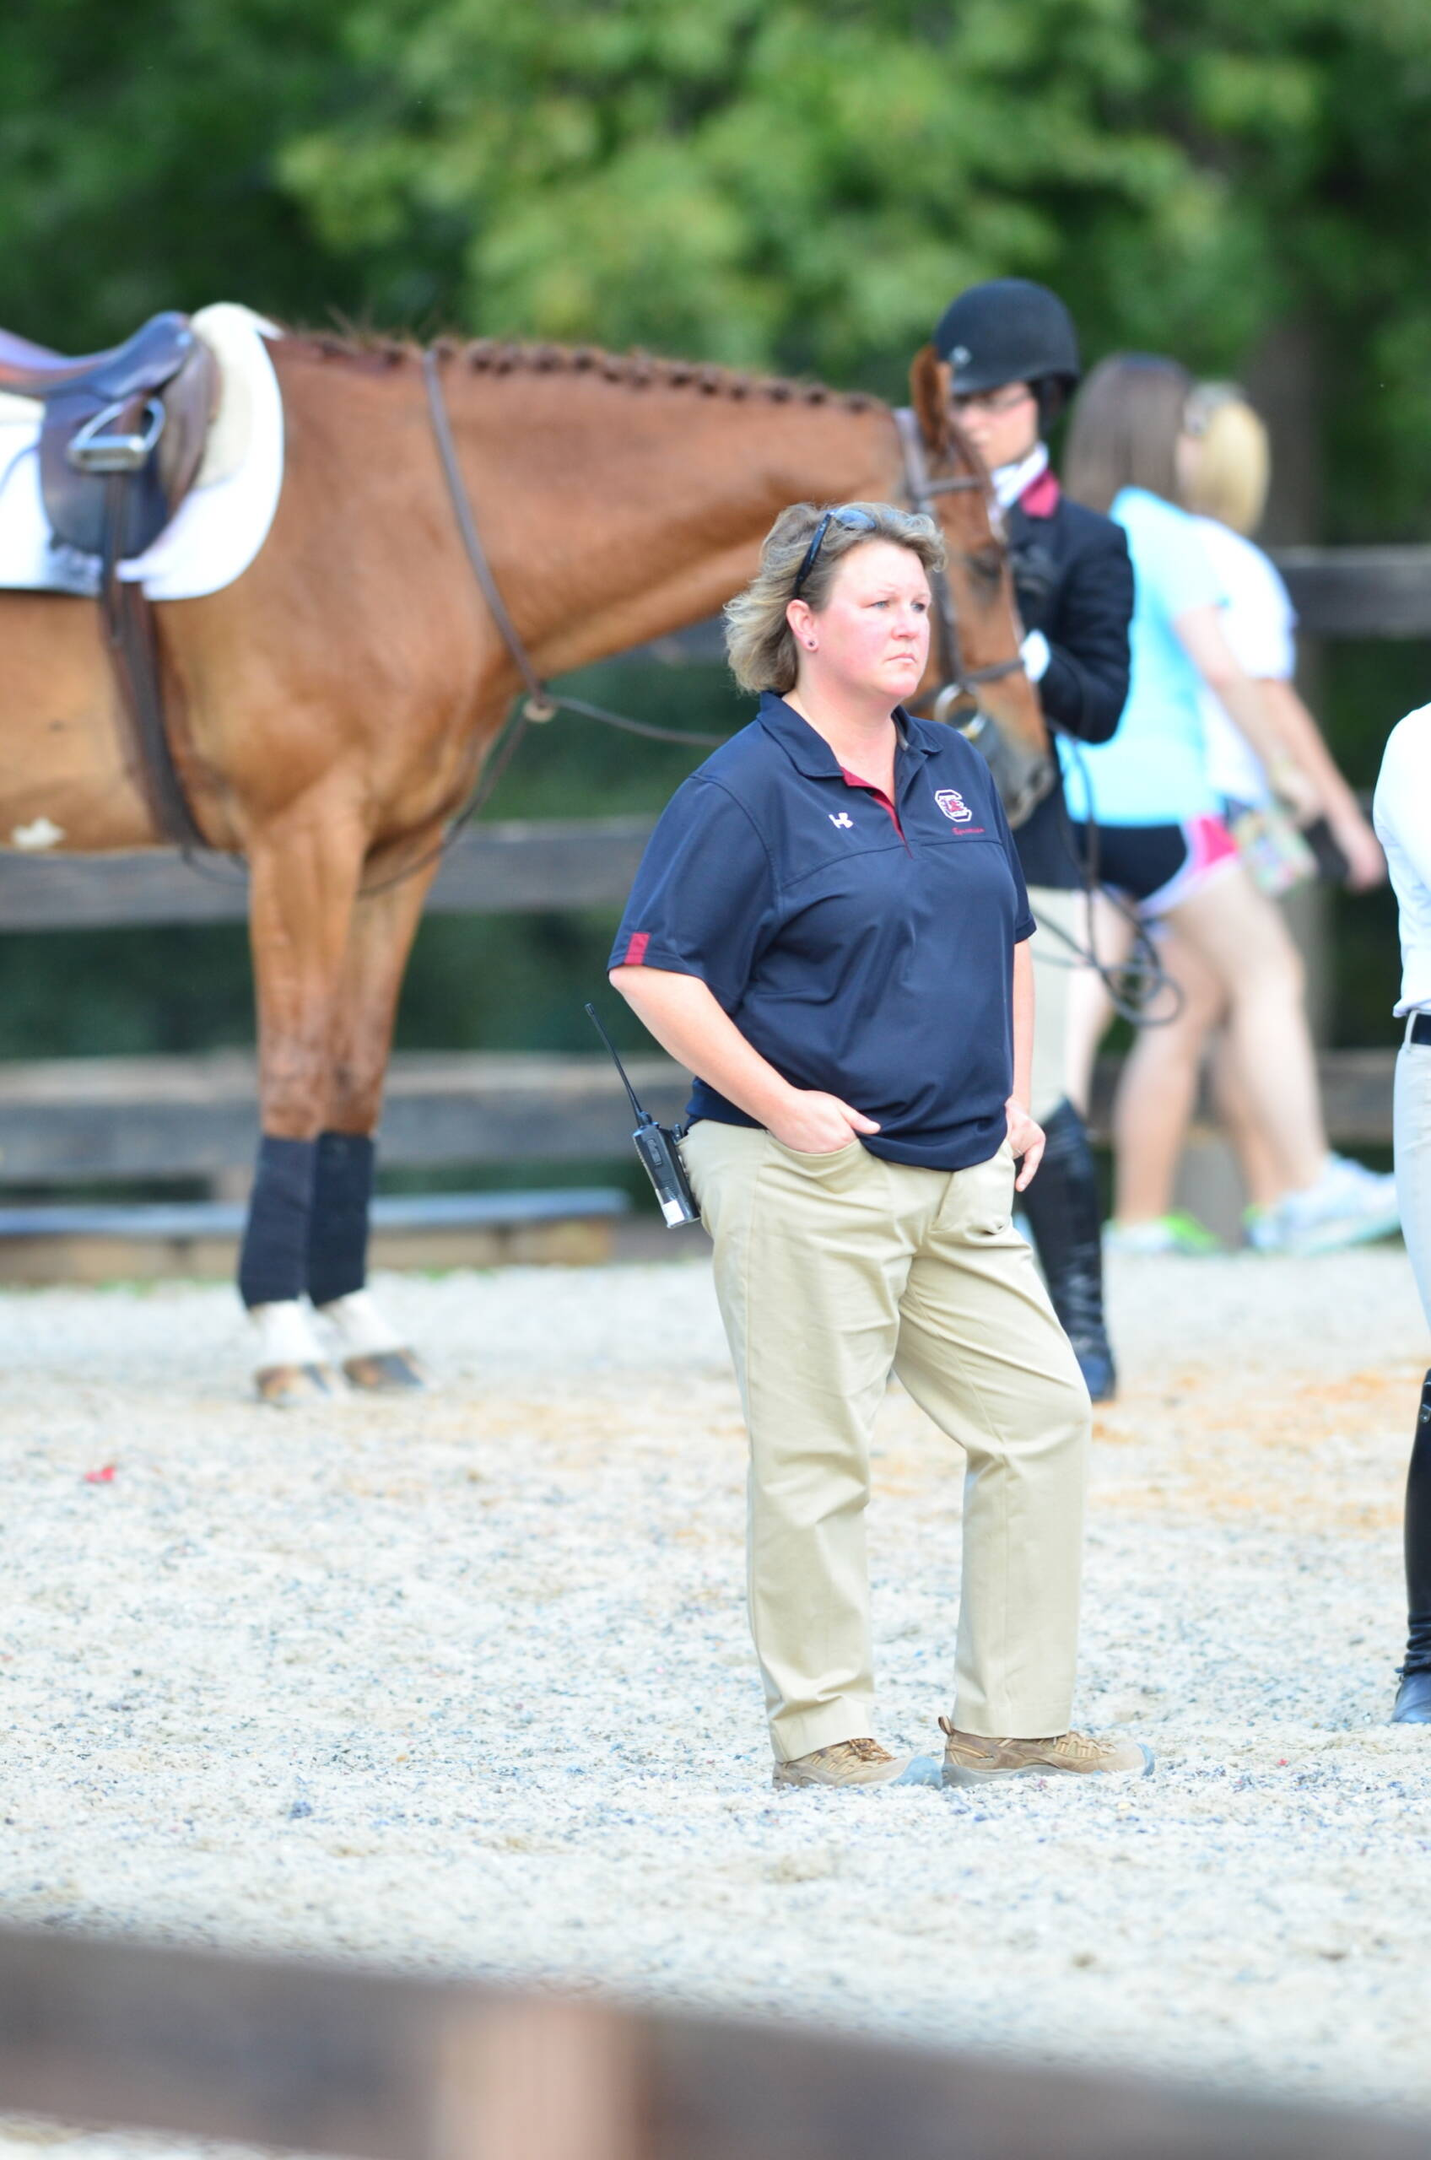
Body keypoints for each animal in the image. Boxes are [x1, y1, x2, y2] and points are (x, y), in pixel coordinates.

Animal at [0, 328, 1041, 1391]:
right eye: (985, 563)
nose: (1025, 762)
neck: (409, 521)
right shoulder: (304, 837)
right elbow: (293, 1069)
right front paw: (283, 1334)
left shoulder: (391, 854)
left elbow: (352, 1072)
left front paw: (359, 1325)